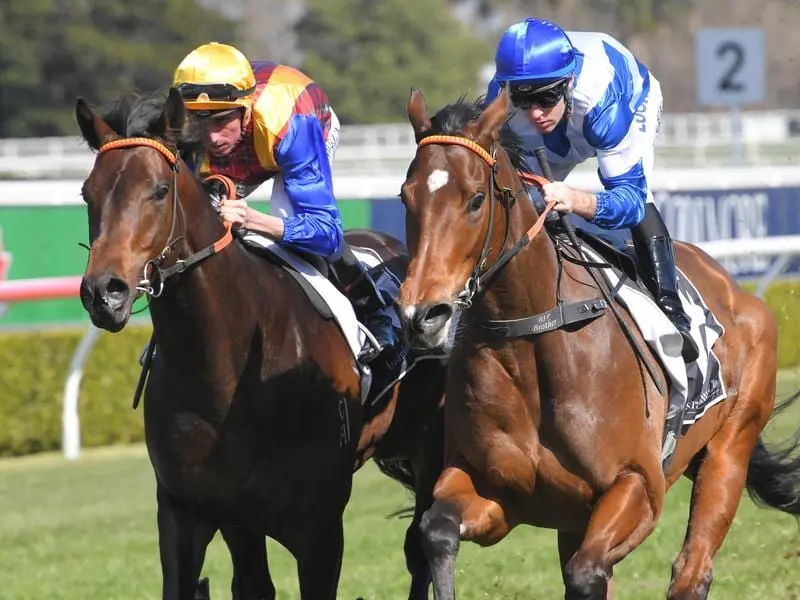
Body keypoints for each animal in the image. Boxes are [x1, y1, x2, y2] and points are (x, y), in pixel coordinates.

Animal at [75, 89, 446, 600]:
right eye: (87, 193)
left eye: (159, 190)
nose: (103, 293)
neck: (224, 371)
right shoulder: (194, 513)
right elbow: (240, 582)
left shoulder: (320, 528)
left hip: (428, 445)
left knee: (420, 547)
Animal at [396, 85, 800, 600]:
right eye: (406, 196)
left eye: (475, 200)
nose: (422, 316)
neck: (532, 340)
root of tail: (737, 290)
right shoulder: (496, 491)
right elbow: (436, 531)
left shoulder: (639, 486)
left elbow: (588, 572)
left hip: (730, 449)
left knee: (691, 571)